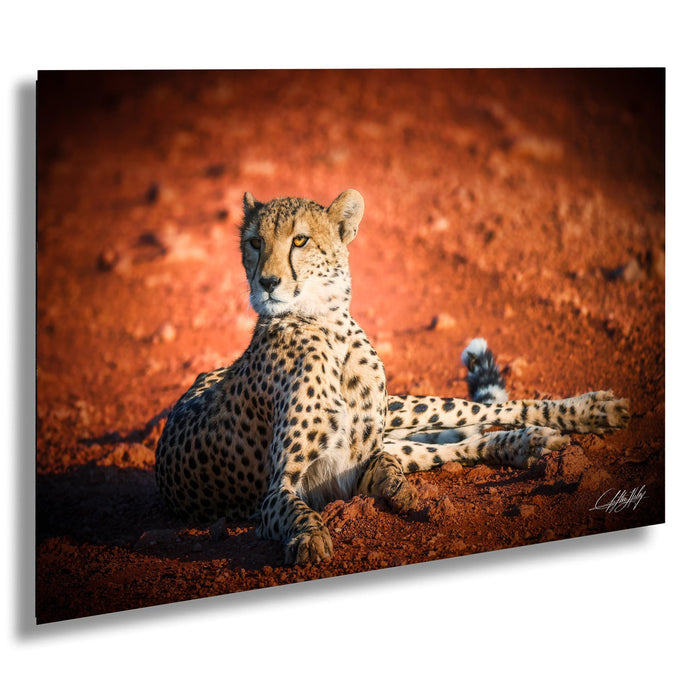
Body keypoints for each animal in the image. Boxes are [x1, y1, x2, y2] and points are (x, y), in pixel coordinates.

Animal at [155, 189, 630, 566]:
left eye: (300, 240)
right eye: (255, 242)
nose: (267, 282)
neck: (326, 326)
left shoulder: (359, 458)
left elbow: (385, 462)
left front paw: (395, 487)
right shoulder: (292, 487)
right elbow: (300, 510)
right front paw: (310, 538)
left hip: (406, 408)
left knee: (481, 413)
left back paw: (589, 413)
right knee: (452, 444)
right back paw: (527, 444)